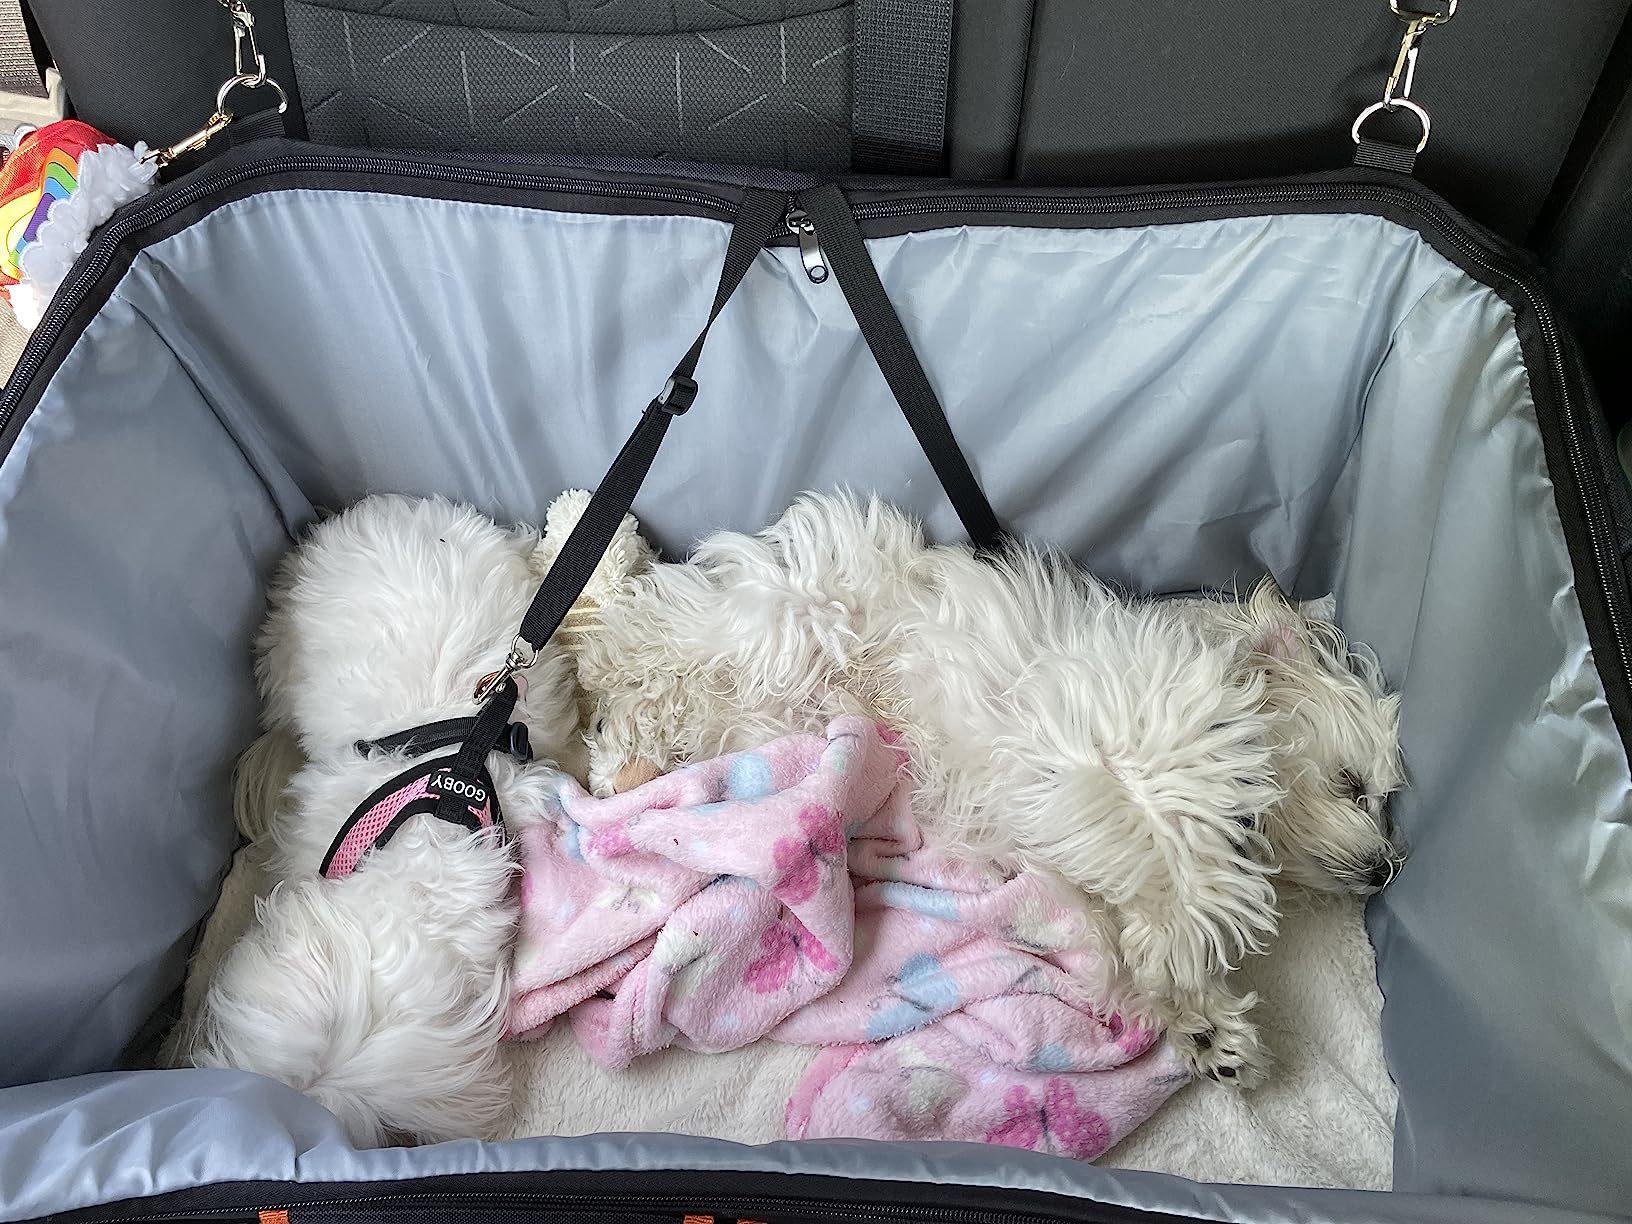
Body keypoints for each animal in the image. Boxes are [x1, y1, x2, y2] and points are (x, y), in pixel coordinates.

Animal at [574, 492, 1405, 1086]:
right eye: (1352, 784)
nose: (1383, 869)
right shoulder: (1111, 760)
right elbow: (1184, 873)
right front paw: (1190, 954)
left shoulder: (1081, 831)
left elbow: (1124, 916)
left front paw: (1200, 1022)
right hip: (786, 624)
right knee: (644, 639)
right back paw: (607, 687)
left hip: (762, 712)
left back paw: (624, 760)